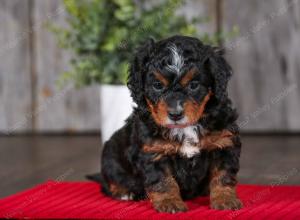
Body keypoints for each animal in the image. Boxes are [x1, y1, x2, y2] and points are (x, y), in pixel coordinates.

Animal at [99, 36, 243, 213]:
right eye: (157, 85)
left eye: (194, 85)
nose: (175, 114)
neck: (185, 128)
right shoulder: (154, 150)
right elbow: (163, 181)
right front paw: (170, 202)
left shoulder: (223, 142)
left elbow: (223, 174)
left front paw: (225, 199)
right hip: (110, 154)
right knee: (110, 179)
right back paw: (125, 192)